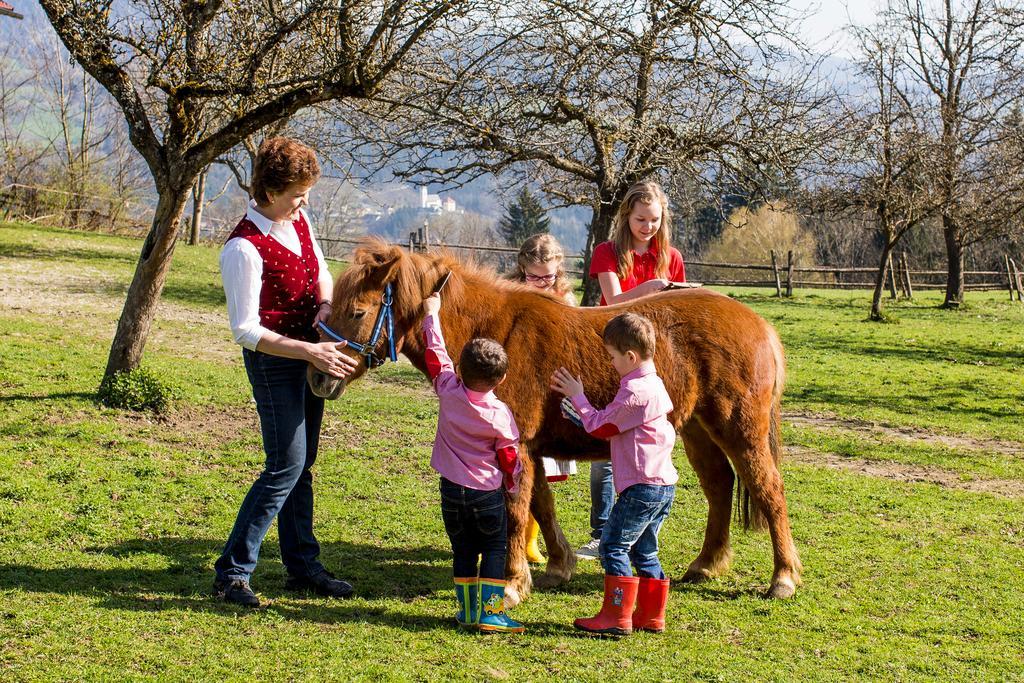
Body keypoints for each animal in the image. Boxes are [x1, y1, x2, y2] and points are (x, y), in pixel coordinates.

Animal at [307, 239, 802, 602]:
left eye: (357, 312)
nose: (318, 376)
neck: (496, 333)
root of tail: (759, 324)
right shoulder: (528, 447)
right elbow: (540, 507)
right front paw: (555, 568)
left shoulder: (515, 445)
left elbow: (515, 510)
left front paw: (510, 585)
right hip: (698, 429)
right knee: (720, 486)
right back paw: (706, 564)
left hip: (739, 429)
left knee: (769, 490)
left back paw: (782, 578)